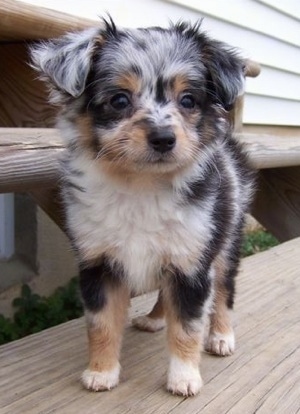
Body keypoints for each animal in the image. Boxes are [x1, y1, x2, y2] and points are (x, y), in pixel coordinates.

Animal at [31, 20, 255, 398]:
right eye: (119, 100)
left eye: (188, 100)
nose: (164, 138)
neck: (141, 184)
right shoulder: (99, 262)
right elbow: (101, 324)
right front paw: (101, 372)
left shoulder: (192, 263)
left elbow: (187, 326)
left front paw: (183, 377)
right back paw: (154, 319)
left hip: (226, 240)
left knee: (225, 289)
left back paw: (221, 336)